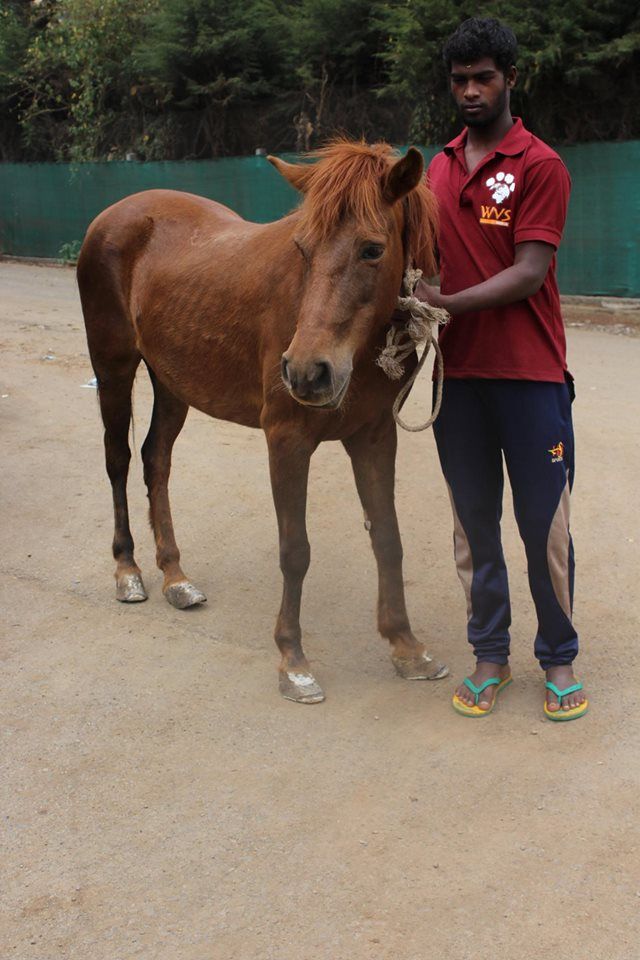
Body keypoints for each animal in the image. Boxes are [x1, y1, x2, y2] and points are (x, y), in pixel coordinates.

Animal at [77, 139, 448, 700]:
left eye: (372, 249)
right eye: (303, 249)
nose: (307, 371)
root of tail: (113, 214)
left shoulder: (374, 436)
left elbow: (387, 537)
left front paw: (406, 646)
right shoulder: (287, 440)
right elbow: (295, 550)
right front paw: (292, 660)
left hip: (173, 384)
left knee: (154, 460)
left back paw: (175, 577)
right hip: (114, 368)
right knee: (117, 459)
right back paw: (127, 571)